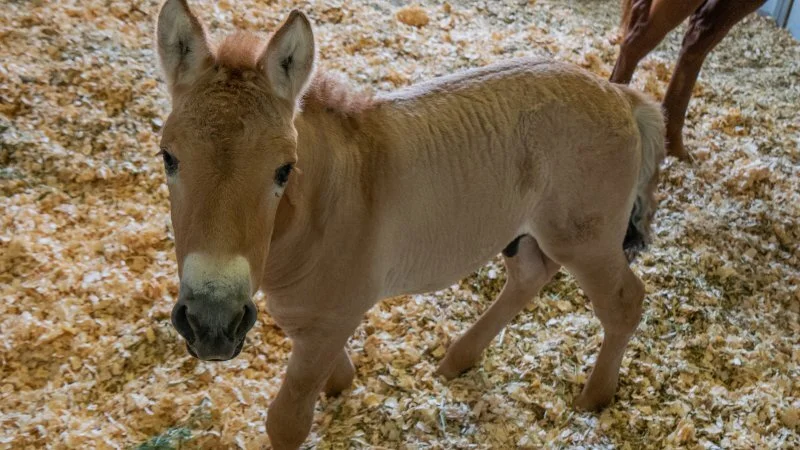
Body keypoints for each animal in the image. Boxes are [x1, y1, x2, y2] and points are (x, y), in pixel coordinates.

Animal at [154, 1, 665, 448]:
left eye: (284, 169)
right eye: (168, 157)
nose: (211, 322)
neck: (327, 204)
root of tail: (620, 95)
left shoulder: (333, 318)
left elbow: (288, 421)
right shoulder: (306, 315)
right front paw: (342, 383)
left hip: (585, 240)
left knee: (624, 302)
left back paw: (594, 396)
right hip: (524, 232)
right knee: (530, 275)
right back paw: (459, 359)